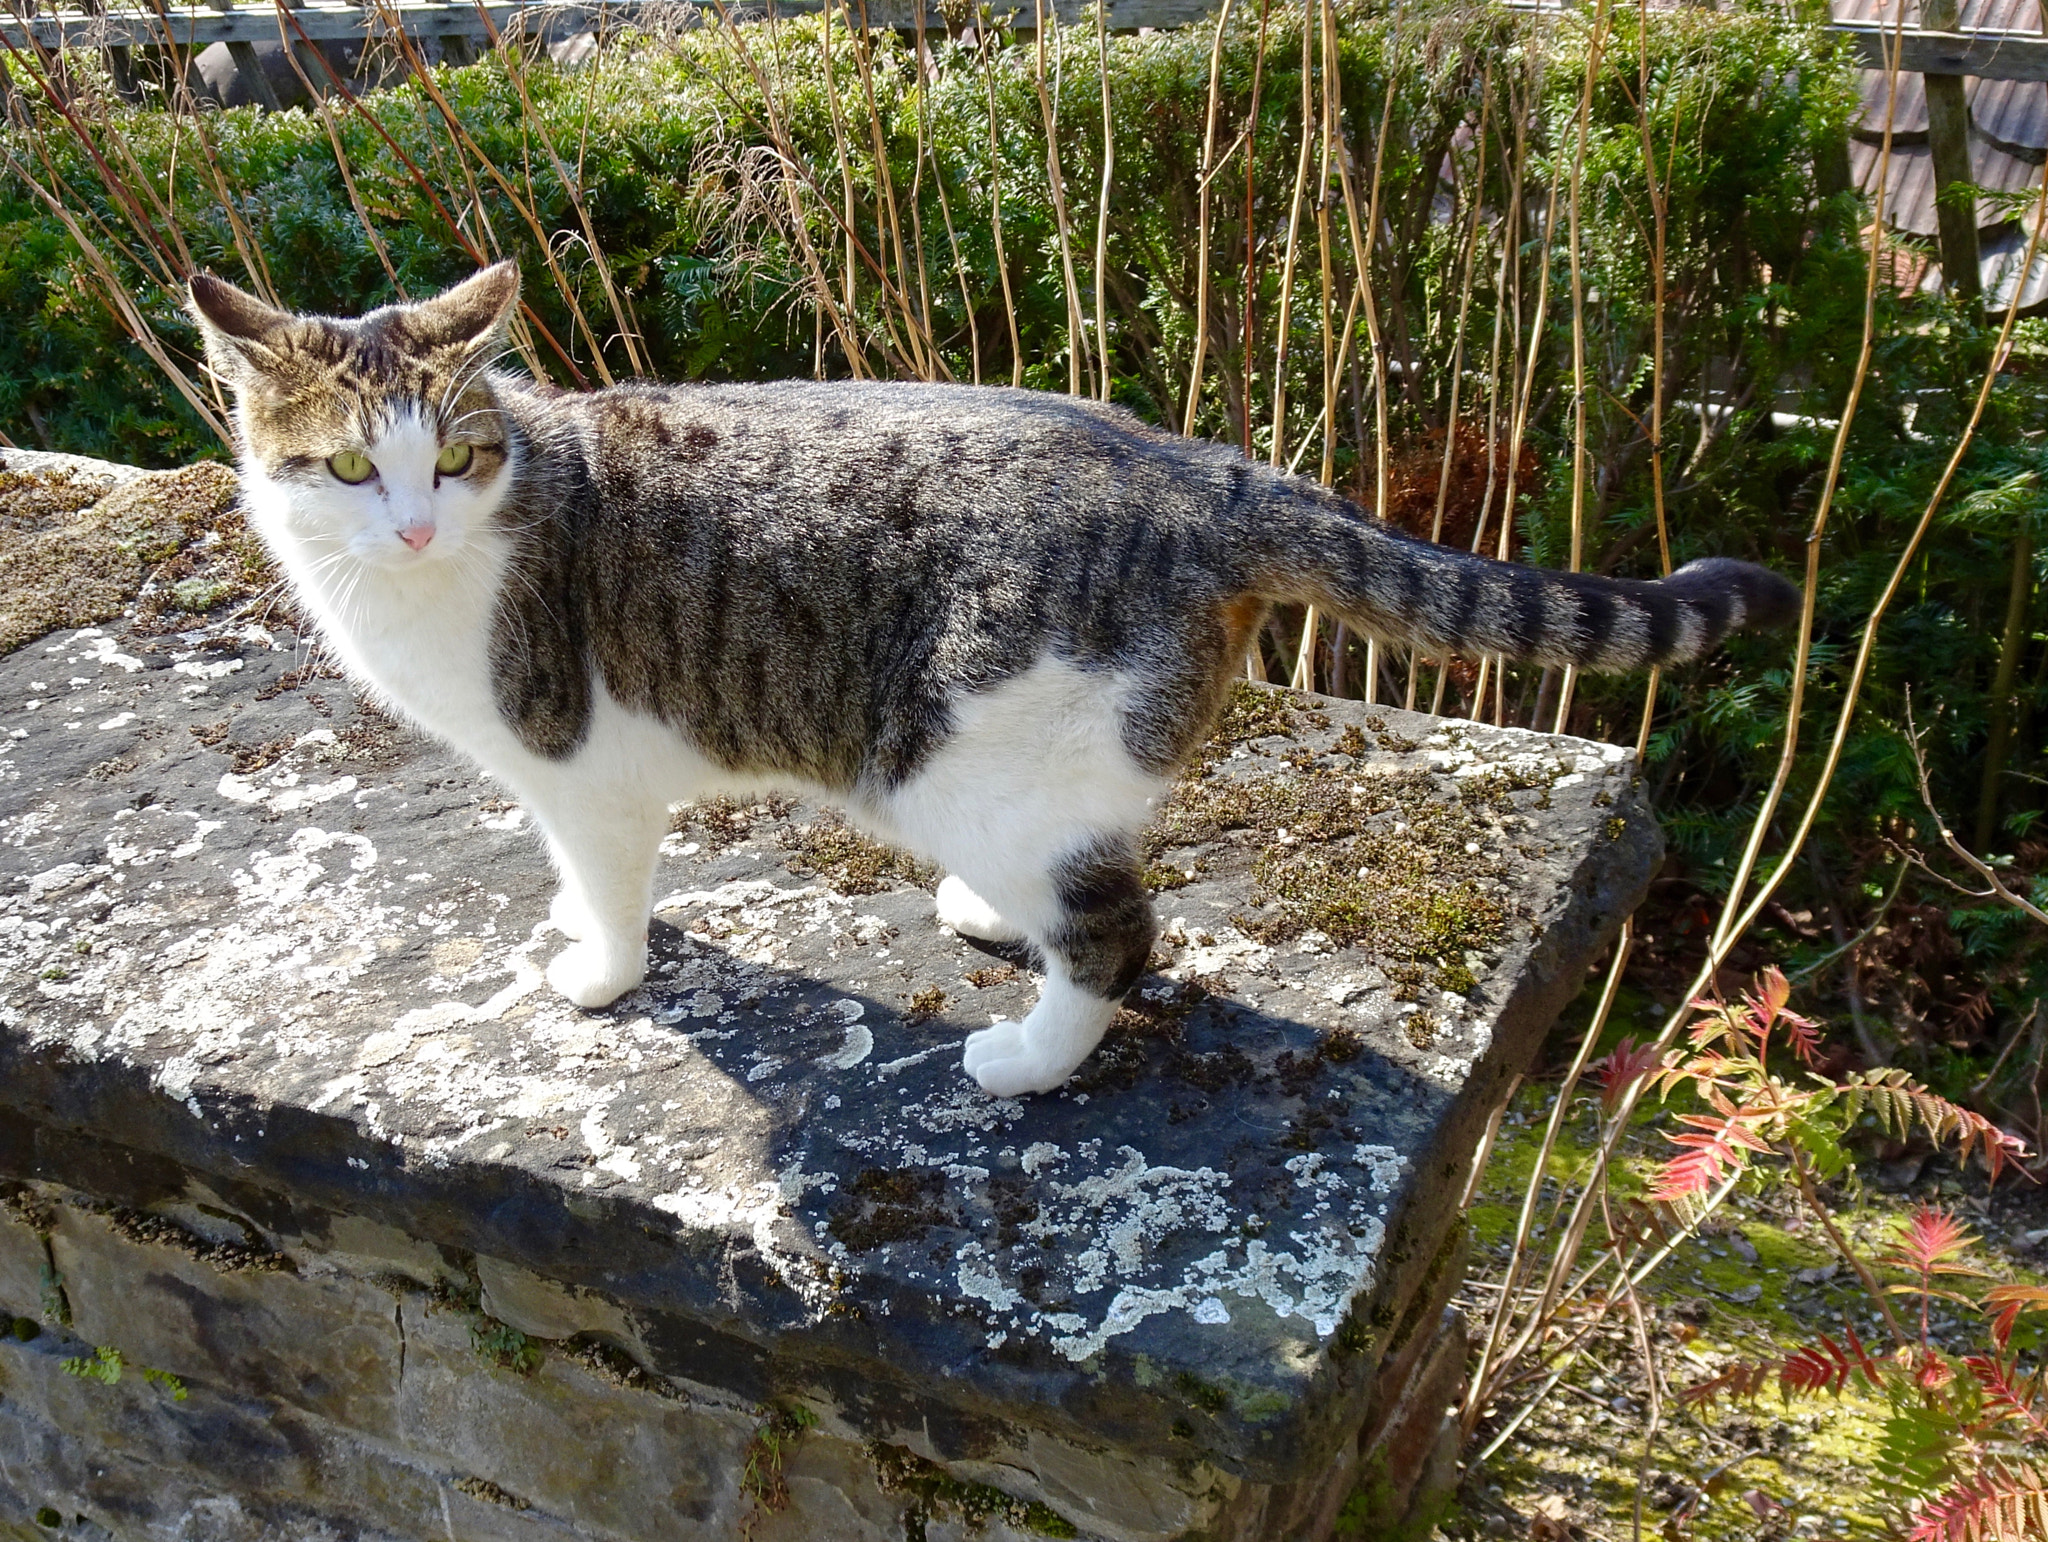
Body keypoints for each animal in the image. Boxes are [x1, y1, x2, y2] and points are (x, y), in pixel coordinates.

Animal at [184, 262, 1802, 1097]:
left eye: (453, 456)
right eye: (349, 468)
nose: (409, 521)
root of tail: (1206, 467)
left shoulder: (575, 764)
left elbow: (605, 882)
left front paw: (597, 970)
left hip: (961, 750)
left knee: (1118, 932)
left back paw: (1026, 1057)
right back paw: (988, 912)